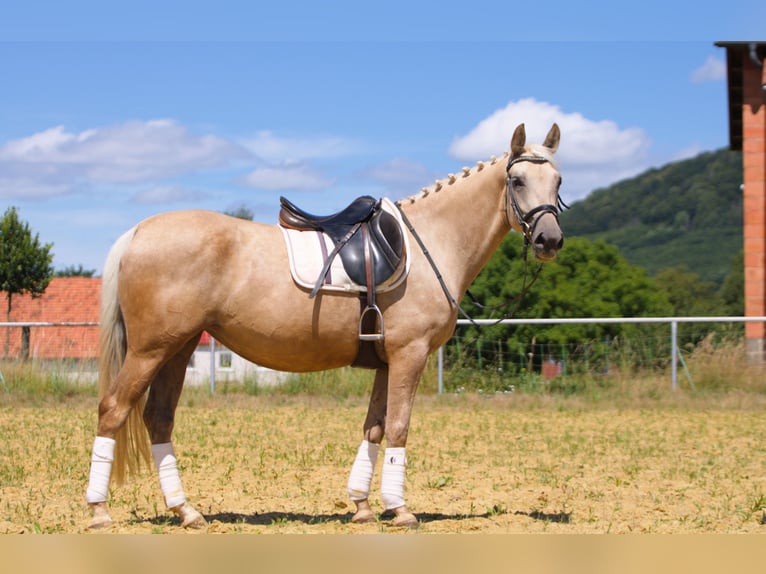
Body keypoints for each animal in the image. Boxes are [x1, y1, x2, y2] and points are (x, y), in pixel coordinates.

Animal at [85, 124, 564, 532]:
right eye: (517, 181)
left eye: (558, 181)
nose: (550, 240)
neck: (432, 242)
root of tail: (137, 232)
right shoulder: (409, 355)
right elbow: (399, 428)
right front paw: (401, 509)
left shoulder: (386, 362)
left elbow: (374, 429)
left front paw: (363, 506)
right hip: (149, 351)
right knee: (113, 410)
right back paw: (99, 511)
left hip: (179, 349)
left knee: (158, 419)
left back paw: (186, 511)